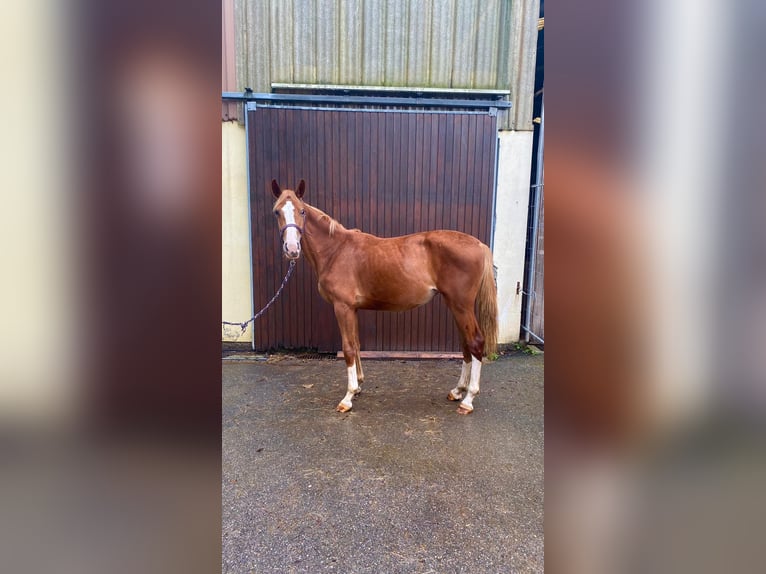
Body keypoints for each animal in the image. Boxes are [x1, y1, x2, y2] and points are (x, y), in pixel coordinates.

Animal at [272, 179, 500, 414]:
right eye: (276, 212)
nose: (291, 249)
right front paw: (358, 387)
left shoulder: (342, 307)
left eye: (301, 211)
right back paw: (457, 391)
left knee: (475, 342)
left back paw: (468, 399)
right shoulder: (352, 308)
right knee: (465, 344)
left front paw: (347, 397)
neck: (336, 250)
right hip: (455, 305)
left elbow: (348, 348)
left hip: (461, 305)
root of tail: (479, 245)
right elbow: (356, 343)